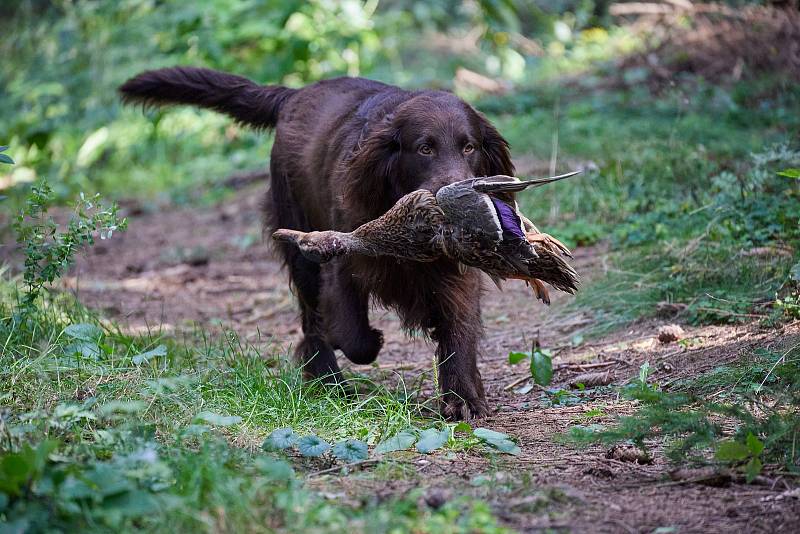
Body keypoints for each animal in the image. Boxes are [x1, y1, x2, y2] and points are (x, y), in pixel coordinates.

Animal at [122, 67, 516, 420]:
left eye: (469, 147)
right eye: (424, 149)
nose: (461, 197)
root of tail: (294, 94)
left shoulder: (454, 270)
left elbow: (459, 330)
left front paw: (463, 398)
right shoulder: (341, 260)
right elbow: (353, 336)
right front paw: (369, 342)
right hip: (301, 246)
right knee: (313, 321)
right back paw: (327, 380)